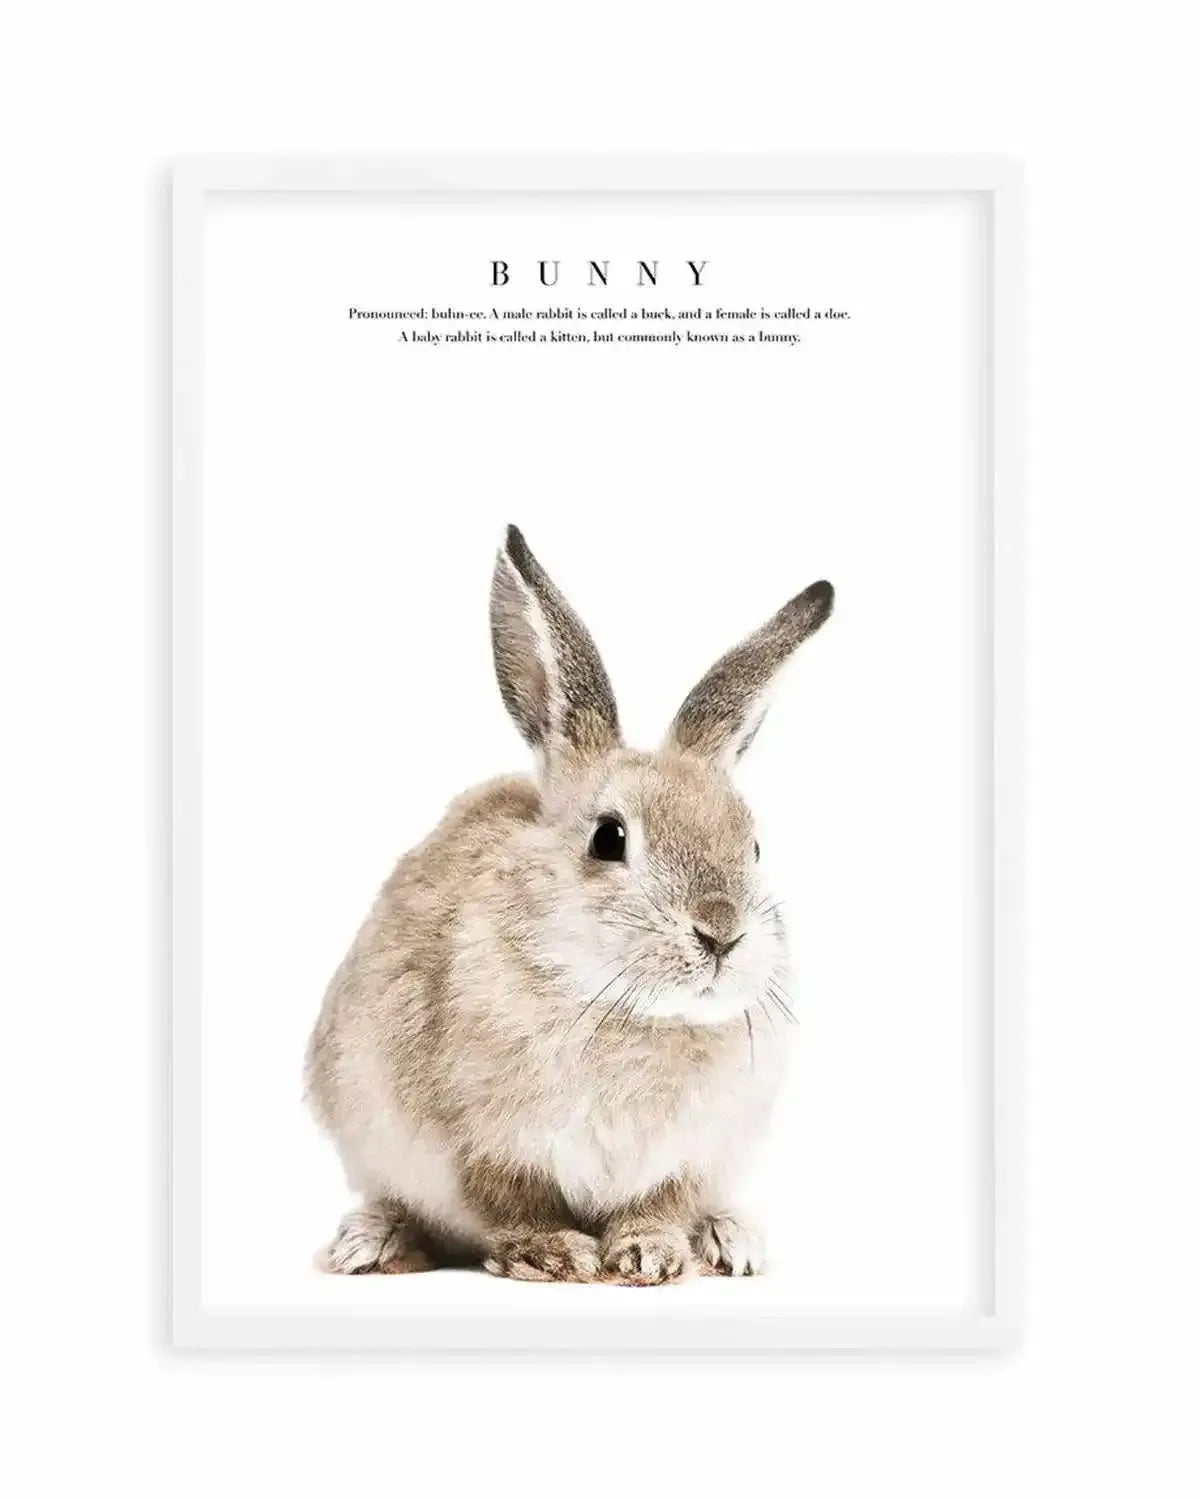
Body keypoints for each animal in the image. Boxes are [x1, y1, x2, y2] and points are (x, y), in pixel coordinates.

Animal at [304, 525, 833, 1284]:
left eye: (754, 846)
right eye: (609, 838)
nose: (721, 933)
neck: (626, 1011)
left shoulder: (690, 1156)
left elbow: (661, 1205)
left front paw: (651, 1255)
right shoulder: (479, 1146)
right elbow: (512, 1205)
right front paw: (554, 1253)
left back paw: (731, 1241)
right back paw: (371, 1244)